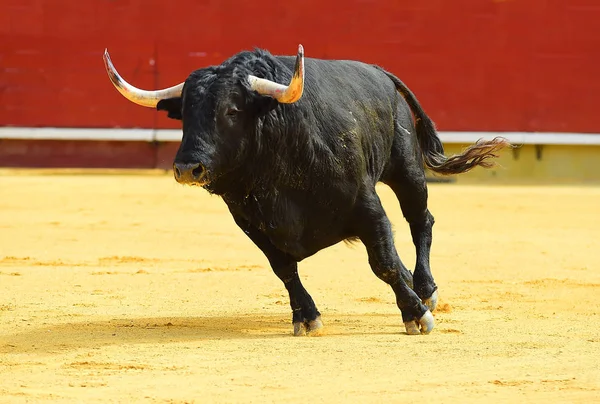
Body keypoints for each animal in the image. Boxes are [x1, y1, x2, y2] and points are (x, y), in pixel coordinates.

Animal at [103, 45, 506, 334]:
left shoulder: (367, 205)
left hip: (405, 168)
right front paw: (307, 316)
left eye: (232, 110)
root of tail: (381, 73)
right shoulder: (249, 221)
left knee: (420, 220)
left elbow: (384, 262)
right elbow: (283, 268)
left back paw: (425, 289)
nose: (188, 167)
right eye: (185, 113)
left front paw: (416, 315)